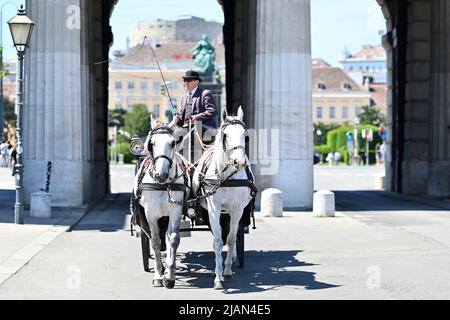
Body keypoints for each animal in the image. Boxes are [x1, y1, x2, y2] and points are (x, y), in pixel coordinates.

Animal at [135, 116, 188, 288]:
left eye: (172, 143)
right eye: (151, 144)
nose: (161, 174)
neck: (164, 185)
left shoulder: (175, 211)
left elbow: (174, 239)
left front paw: (169, 276)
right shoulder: (150, 214)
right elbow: (156, 242)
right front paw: (158, 275)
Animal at [192, 107, 253, 290]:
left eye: (245, 135)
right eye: (225, 135)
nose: (240, 162)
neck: (226, 177)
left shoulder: (237, 210)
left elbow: (231, 239)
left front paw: (227, 271)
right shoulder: (214, 209)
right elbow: (218, 241)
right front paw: (218, 277)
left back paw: (232, 258)